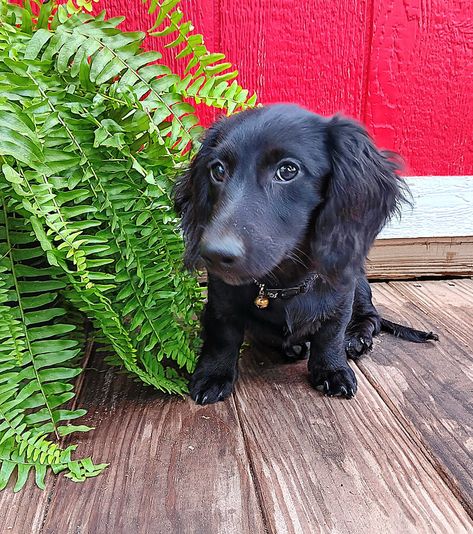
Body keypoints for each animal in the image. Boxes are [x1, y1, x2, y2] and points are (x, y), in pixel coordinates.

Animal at [174, 104, 438, 406]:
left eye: (288, 170)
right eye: (217, 170)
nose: (215, 254)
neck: (282, 284)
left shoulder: (340, 297)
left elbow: (331, 334)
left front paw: (332, 369)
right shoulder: (221, 301)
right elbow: (222, 336)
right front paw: (214, 374)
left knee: (370, 317)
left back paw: (357, 339)